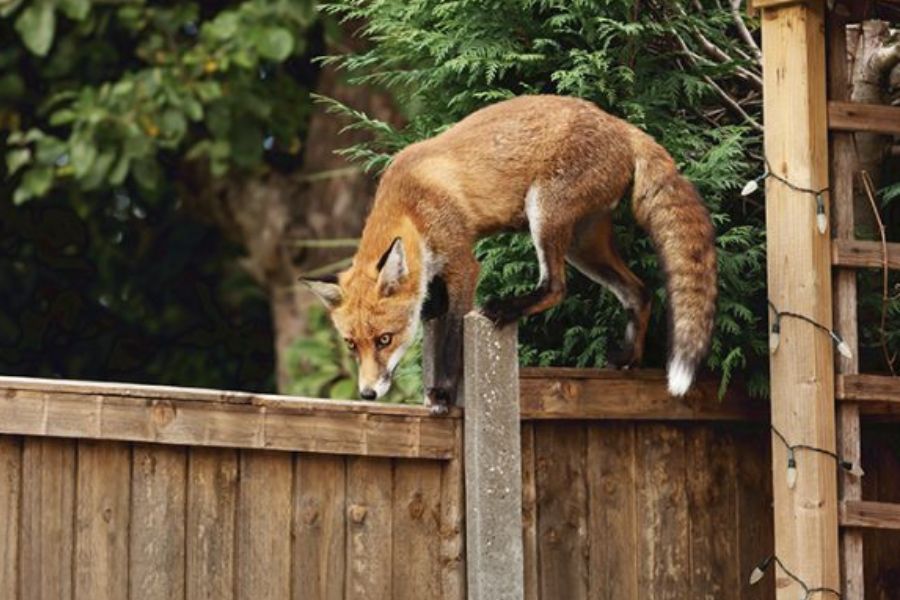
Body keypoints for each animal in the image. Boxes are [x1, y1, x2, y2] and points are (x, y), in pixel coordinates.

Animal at [302, 95, 716, 412]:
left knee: (556, 287)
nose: (367, 393)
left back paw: (507, 308)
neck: (412, 206)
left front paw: (443, 393)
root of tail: (620, 124)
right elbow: (435, 310)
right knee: (638, 292)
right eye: (351, 344)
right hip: (584, 246)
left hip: (544, 215)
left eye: (384, 340)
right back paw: (630, 357)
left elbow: (451, 340)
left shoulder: (465, 264)